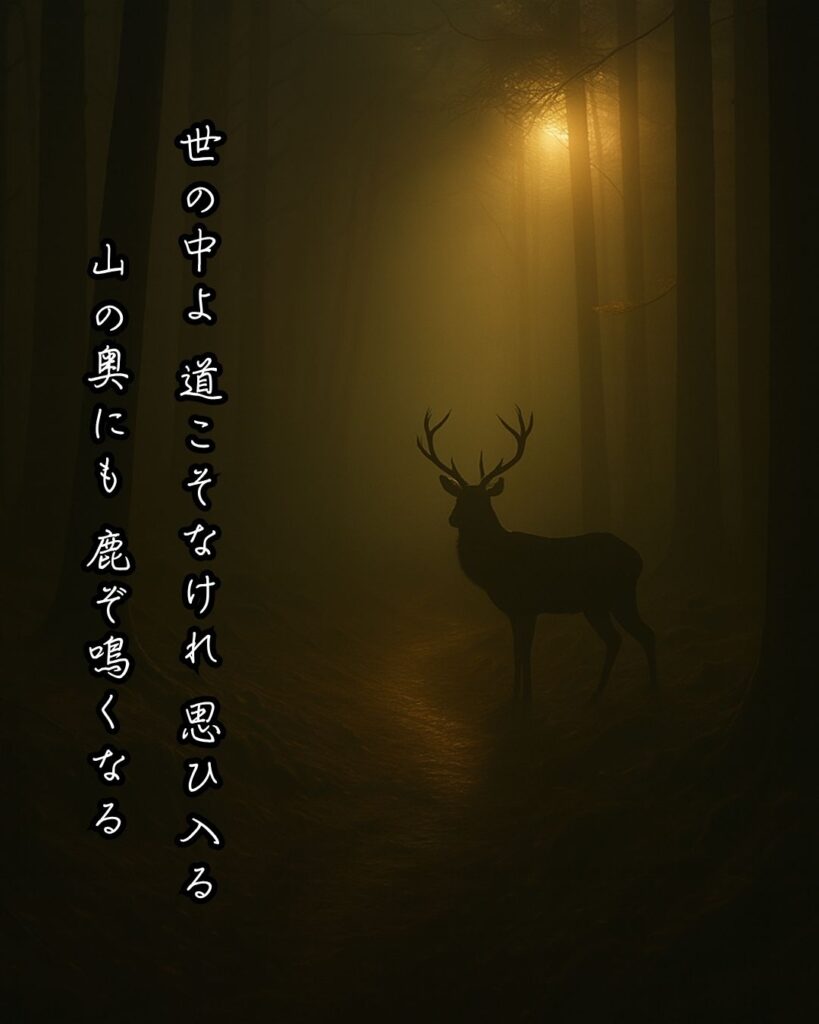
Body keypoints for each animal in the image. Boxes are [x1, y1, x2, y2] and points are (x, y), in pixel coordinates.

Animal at [417, 407, 657, 703]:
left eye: (482, 500)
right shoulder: (512, 609)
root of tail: (638, 558)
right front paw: (514, 693)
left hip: (619, 593)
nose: (453, 518)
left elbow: (527, 651)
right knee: (617, 639)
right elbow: (516, 651)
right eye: (458, 497)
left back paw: (651, 688)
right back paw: (597, 693)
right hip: (596, 604)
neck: (494, 569)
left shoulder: (530, 604)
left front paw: (527, 697)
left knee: (645, 634)